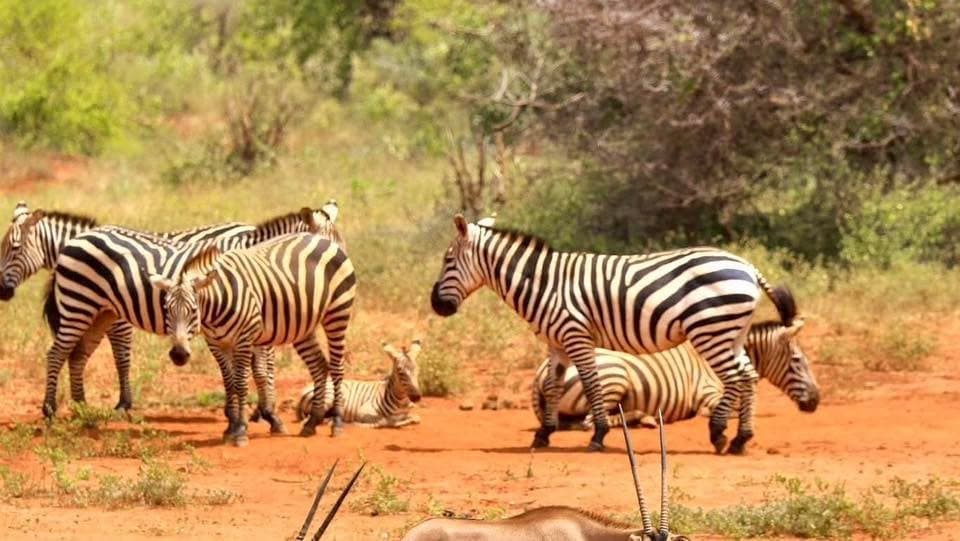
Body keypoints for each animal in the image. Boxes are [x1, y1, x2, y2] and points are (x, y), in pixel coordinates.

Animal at [0, 201, 336, 410]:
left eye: (13, 248)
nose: (1, 291)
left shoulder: (116, 317)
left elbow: (121, 355)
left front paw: (124, 403)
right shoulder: (112, 313)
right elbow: (119, 356)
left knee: (66, 353)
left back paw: (60, 408)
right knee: (67, 353)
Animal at [150, 232, 356, 445]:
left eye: (192, 310)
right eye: (166, 310)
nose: (179, 355)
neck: (215, 308)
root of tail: (320, 237)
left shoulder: (243, 339)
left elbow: (241, 383)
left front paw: (241, 430)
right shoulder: (216, 344)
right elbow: (229, 383)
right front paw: (230, 428)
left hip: (338, 312)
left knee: (337, 367)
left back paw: (337, 422)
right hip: (303, 326)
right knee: (319, 365)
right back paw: (312, 422)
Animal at [294, 340, 422, 428]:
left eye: (418, 370)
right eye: (401, 373)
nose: (417, 397)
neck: (400, 401)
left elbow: (414, 417)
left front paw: (410, 419)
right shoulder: (363, 411)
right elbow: (386, 420)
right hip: (329, 396)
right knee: (309, 419)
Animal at [531, 318, 819, 434]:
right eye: (797, 361)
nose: (816, 401)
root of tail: (539, 374)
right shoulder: (708, 393)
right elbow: (728, 408)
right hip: (615, 376)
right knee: (591, 422)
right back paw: (646, 419)